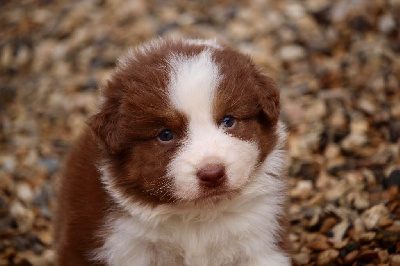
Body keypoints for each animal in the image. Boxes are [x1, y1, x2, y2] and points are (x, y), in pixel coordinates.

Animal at [54, 39, 290, 266]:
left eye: (228, 121)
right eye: (166, 135)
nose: (212, 174)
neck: (197, 217)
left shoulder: (261, 237)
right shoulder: (120, 245)